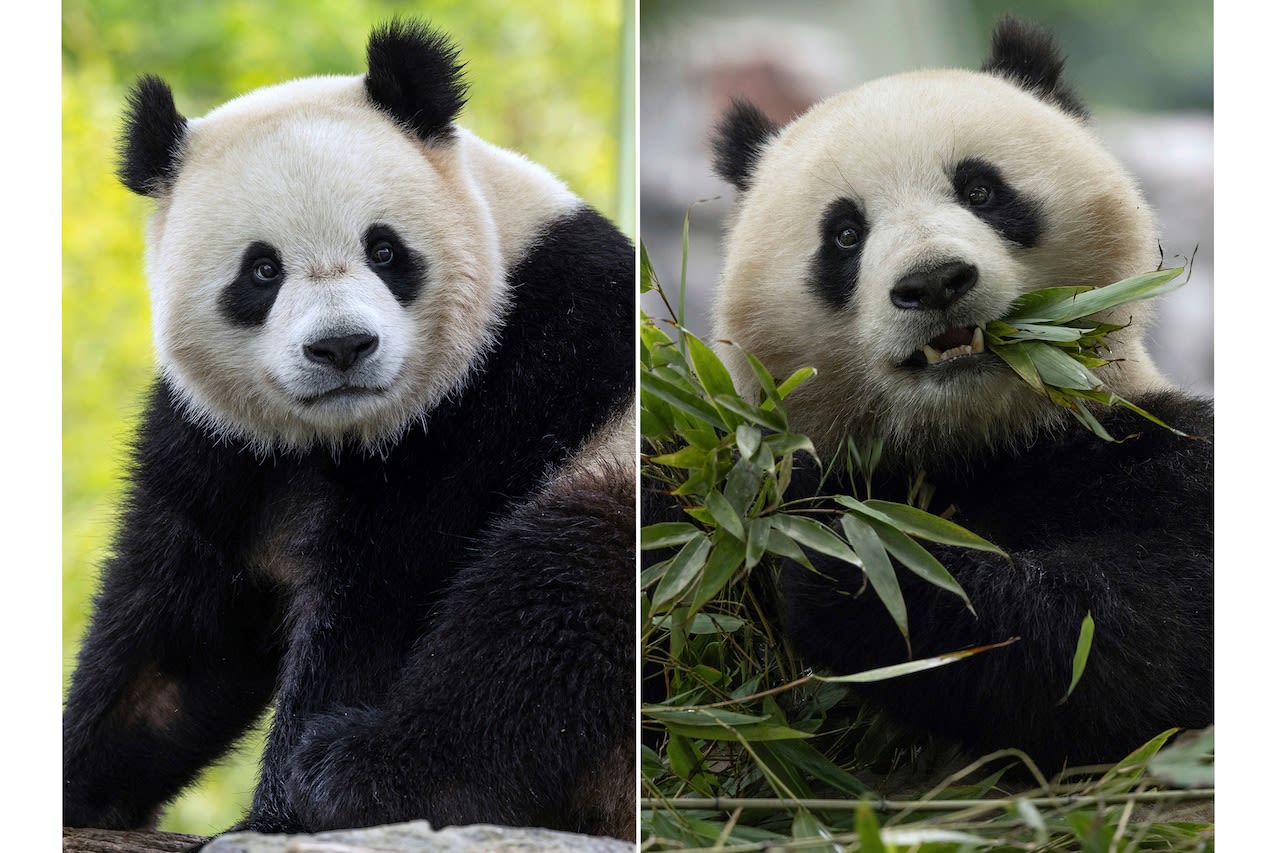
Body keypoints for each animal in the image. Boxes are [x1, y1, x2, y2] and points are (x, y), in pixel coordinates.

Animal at [64, 18, 634, 835]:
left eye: (385, 249)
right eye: (262, 270)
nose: (341, 347)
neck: (341, 433)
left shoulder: (507, 387)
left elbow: (379, 606)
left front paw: (274, 816)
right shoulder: (224, 442)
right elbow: (176, 639)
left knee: (553, 608)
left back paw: (362, 771)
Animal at [706, 16, 1213, 763]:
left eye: (980, 190)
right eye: (845, 233)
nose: (935, 281)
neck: (972, 437)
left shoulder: (1149, 449)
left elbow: (1138, 630)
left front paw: (857, 563)